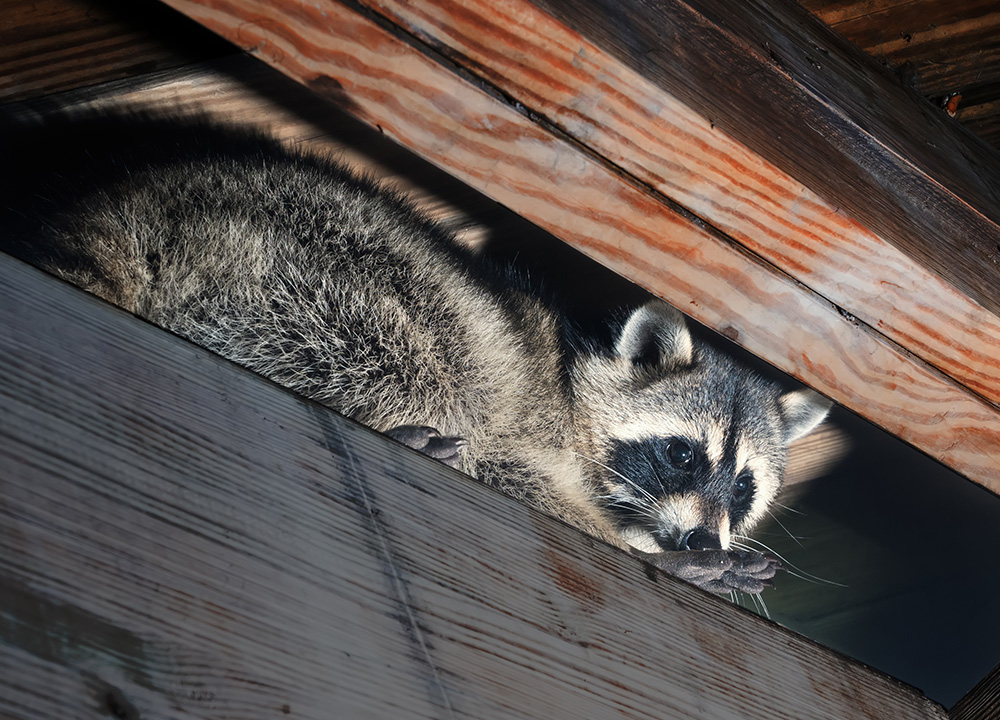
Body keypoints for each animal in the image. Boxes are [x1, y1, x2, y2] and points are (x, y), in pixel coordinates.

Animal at [0, 113, 830, 595]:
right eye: (683, 455)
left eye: (745, 487)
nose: (701, 537)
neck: (575, 389)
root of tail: (136, 205)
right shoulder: (527, 426)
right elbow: (513, 471)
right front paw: (657, 557)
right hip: (311, 273)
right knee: (420, 357)